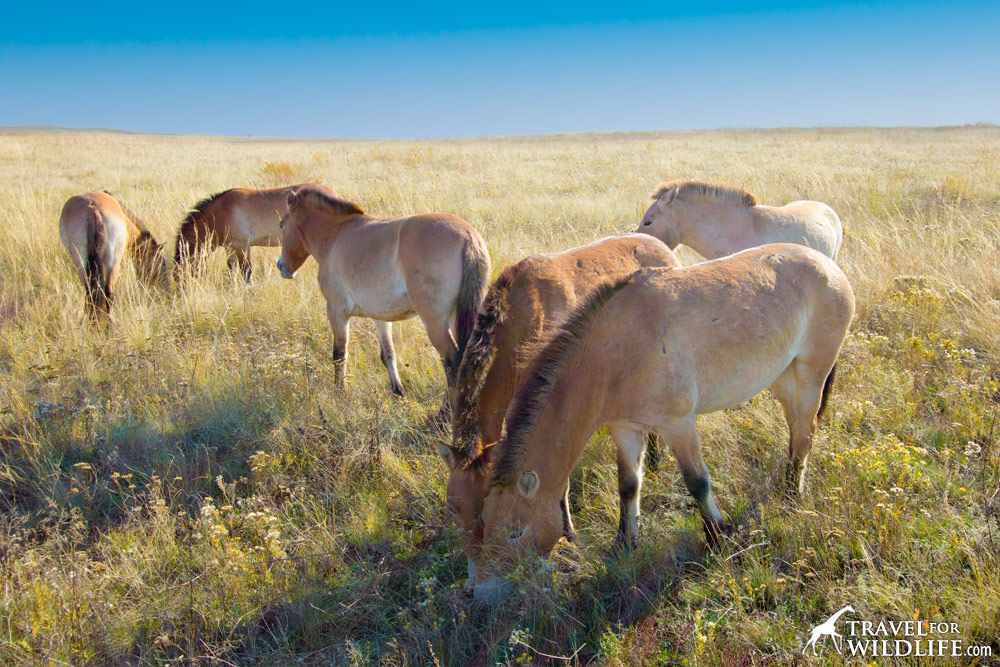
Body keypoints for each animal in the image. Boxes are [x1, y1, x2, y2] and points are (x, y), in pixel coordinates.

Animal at [276, 185, 490, 400]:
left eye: (282, 225)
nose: (281, 266)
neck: (336, 234)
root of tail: (468, 235)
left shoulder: (336, 311)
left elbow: (339, 355)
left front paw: (339, 392)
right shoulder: (381, 316)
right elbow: (388, 353)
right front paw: (398, 391)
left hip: (435, 322)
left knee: (451, 360)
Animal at [438, 234, 680, 580]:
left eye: (485, 508)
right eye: (453, 508)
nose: (475, 569)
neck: (520, 315)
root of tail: (659, 244)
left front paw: (568, 531)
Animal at [472, 244, 856, 600]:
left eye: (516, 532)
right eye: (485, 523)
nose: (482, 591)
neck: (616, 351)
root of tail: (828, 264)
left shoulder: (678, 424)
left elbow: (697, 482)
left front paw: (718, 536)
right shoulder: (625, 428)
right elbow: (628, 485)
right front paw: (624, 543)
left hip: (810, 375)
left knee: (804, 432)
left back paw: (792, 495)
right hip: (783, 377)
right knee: (796, 428)